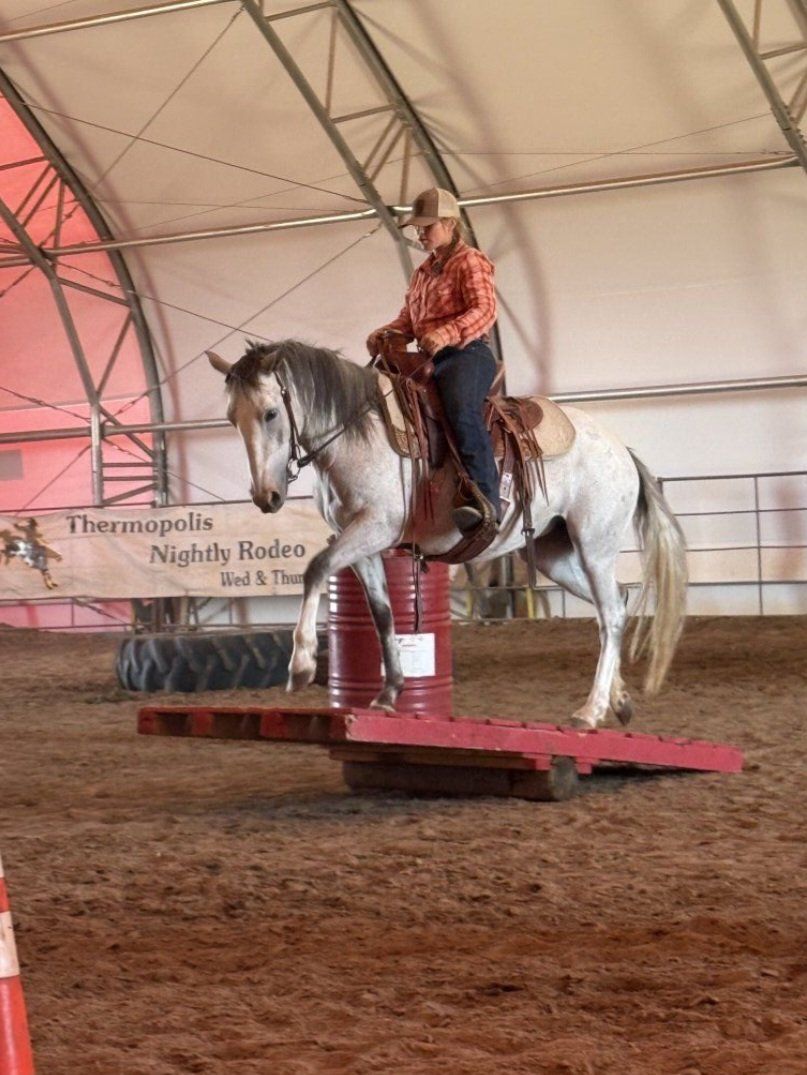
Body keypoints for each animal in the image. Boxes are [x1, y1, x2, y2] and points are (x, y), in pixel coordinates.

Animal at [207, 339, 687, 728]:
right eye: (231, 417)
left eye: (271, 413)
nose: (266, 496)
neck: (358, 435)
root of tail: (622, 451)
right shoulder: (362, 541)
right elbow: (382, 613)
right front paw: (389, 692)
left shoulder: (375, 526)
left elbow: (315, 568)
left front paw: (302, 665)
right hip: (557, 554)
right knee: (614, 607)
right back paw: (618, 701)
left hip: (594, 544)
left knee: (612, 613)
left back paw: (590, 711)